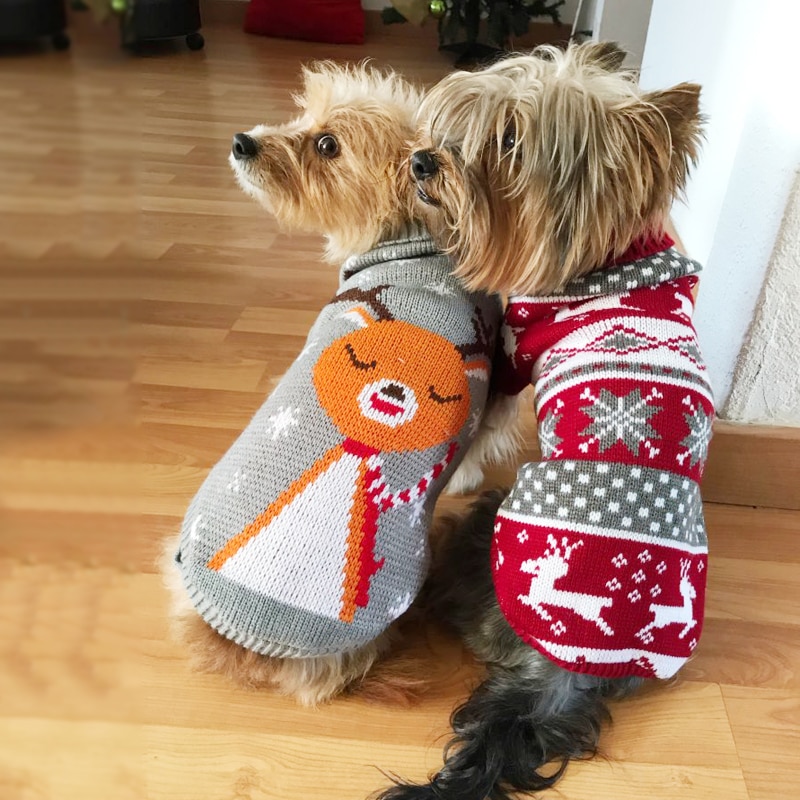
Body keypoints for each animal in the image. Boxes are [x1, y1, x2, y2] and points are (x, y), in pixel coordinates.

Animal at [378, 40, 716, 796]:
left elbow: (489, 413)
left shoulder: (519, 347)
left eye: (508, 143)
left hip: (487, 543)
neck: (615, 254)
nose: (423, 161)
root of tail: (560, 673)